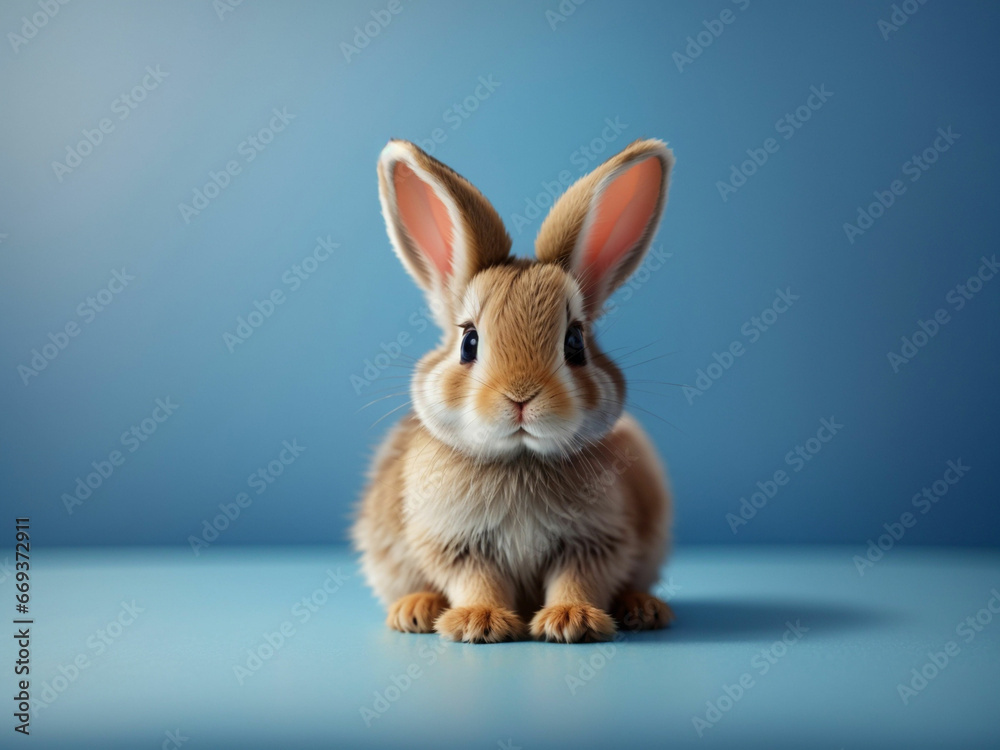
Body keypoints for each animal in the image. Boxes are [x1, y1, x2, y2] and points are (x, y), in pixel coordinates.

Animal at [351, 137, 675, 643]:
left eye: (575, 342)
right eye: (469, 342)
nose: (521, 397)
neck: (520, 459)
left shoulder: (594, 542)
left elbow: (577, 579)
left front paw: (572, 620)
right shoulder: (455, 544)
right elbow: (477, 580)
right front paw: (479, 622)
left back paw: (644, 608)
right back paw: (415, 610)